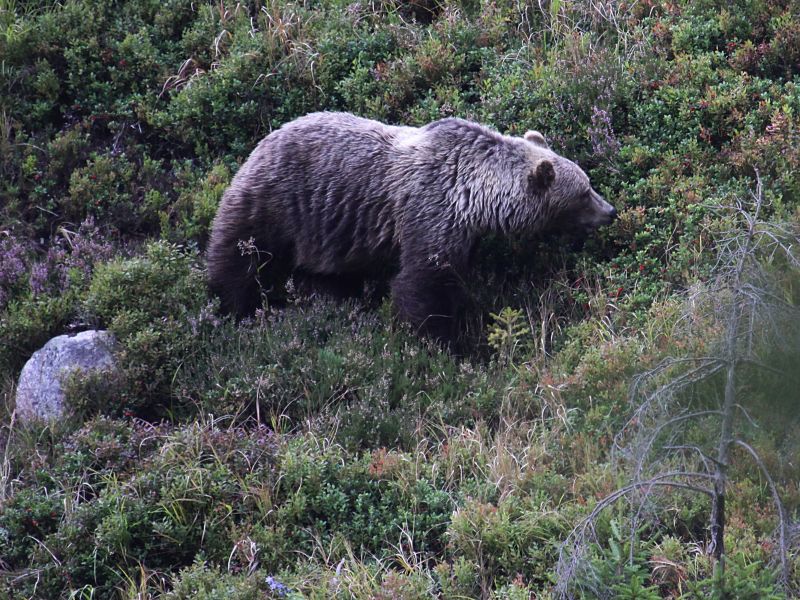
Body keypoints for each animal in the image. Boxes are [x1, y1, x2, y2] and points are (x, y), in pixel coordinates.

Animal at [208, 112, 620, 342]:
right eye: (583, 192)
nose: (611, 211)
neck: (474, 196)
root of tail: (262, 141)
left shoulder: (463, 231)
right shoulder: (429, 212)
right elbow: (422, 284)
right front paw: (442, 343)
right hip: (277, 203)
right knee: (239, 257)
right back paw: (231, 309)